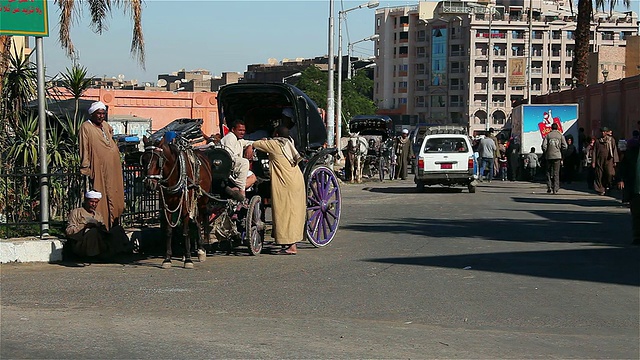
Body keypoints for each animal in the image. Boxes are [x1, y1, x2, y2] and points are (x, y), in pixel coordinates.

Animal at [141, 136, 212, 268]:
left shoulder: (185, 206)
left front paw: (188, 259)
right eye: (143, 160)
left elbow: (186, 231)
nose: (149, 184)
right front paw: (167, 259)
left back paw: (200, 250)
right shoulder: (166, 206)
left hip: (202, 201)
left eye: (158, 161)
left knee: (200, 221)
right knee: (195, 221)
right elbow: (169, 231)